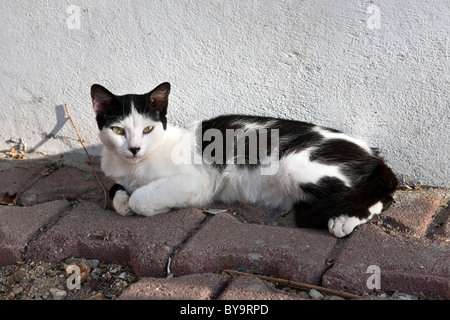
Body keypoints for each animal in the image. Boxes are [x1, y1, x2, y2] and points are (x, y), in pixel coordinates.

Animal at [90, 82, 398, 238]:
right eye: (118, 130)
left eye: (147, 129)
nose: (134, 148)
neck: (134, 168)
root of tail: (372, 153)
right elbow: (118, 192)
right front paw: (124, 198)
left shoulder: (199, 180)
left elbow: (140, 199)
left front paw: (145, 203)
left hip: (296, 164)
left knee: (376, 197)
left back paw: (344, 220)